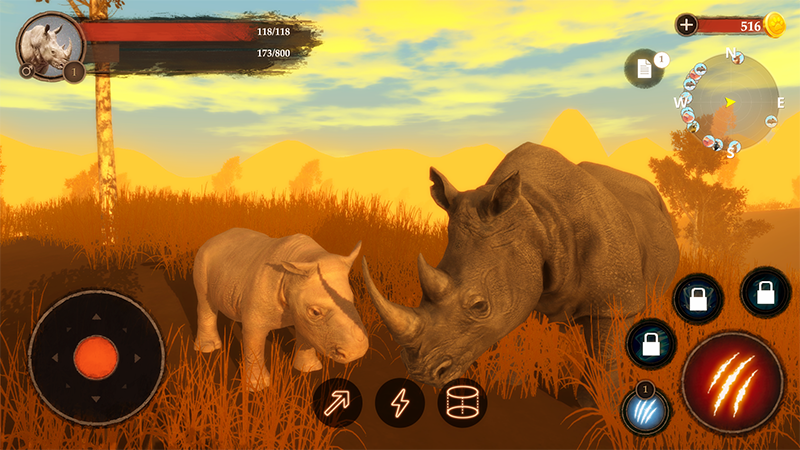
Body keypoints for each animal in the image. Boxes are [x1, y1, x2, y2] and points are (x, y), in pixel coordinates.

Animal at [194, 228, 369, 391]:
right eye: (315, 312)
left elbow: (306, 335)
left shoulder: (301, 313)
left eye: (352, 300)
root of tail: (215, 237)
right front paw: (258, 387)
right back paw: (207, 348)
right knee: (205, 300)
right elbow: (254, 343)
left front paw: (309, 369)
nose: (357, 352)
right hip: (203, 258)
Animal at [363, 142, 679, 405]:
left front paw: (599, 406)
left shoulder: (616, 301)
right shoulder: (517, 277)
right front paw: (511, 384)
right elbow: (513, 332)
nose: (421, 372)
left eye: (480, 306)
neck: (535, 218)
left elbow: (605, 350)